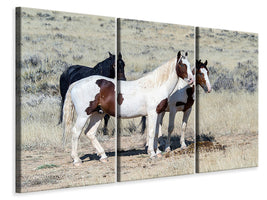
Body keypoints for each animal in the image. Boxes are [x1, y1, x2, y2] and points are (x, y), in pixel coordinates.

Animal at [61, 50, 194, 165]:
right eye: (182, 64)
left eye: (189, 64)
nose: (191, 80)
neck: (156, 86)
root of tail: (76, 84)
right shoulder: (152, 113)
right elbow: (151, 132)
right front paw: (152, 153)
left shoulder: (159, 113)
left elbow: (156, 132)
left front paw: (157, 152)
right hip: (84, 115)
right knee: (76, 132)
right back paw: (77, 160)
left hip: (97, 114)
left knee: (90, 133)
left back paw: (103, 156)